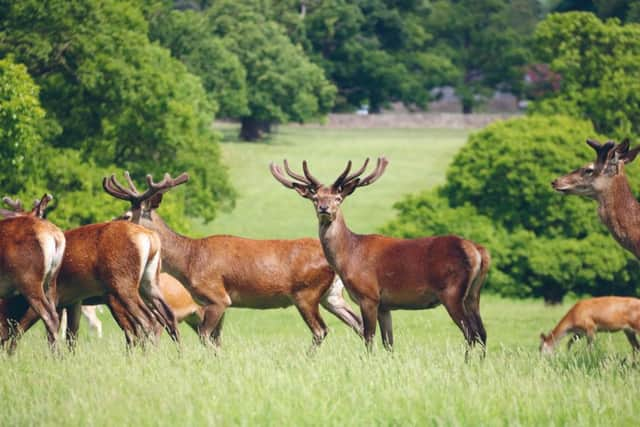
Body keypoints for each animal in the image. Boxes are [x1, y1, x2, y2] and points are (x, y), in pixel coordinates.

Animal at [105, 172, 364, 350]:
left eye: (126, 215)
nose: (108, 226)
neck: (189, 259)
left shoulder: (217, 296)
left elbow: (205, 337)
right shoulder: (217, 302)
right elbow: (216, 339)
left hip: (306, 293)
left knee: (321, 330)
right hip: (331, 295)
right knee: (358, 323)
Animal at [270, 157, 490, 354]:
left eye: (338, 199)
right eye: (315, 199)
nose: (325, 209)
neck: (349, 255)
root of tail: (478, 252)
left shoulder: (369, 295)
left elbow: (369, 338)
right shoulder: (385, 305)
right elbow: (389, 343)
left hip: (452, 292)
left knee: (470, 333)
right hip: (473, 294)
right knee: (482, 333)